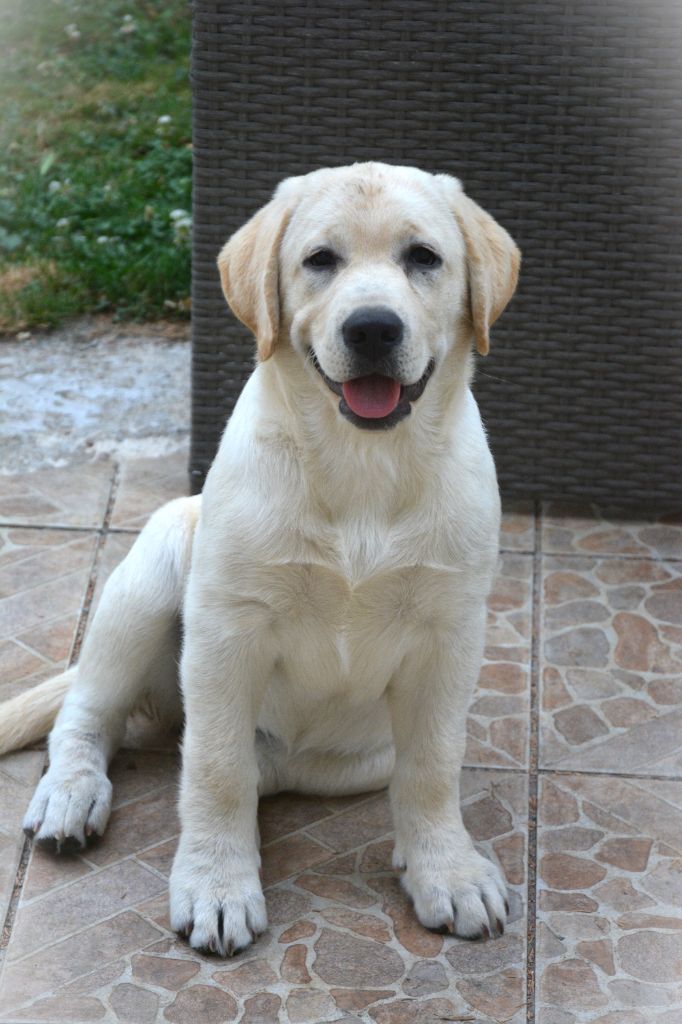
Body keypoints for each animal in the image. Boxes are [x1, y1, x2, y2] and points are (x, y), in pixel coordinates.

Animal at [0, 157, 518, 950]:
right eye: (320, 260)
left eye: (424, 258)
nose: (372, 327)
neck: (361, 466)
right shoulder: (225, 628)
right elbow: (215, 770)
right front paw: (217, 885)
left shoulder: (449, 634)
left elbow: (432, 767)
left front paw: (446, 869)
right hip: (153, 571)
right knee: (90, 715)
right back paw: (71, 795)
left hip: (350, 761)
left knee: (257, 767)